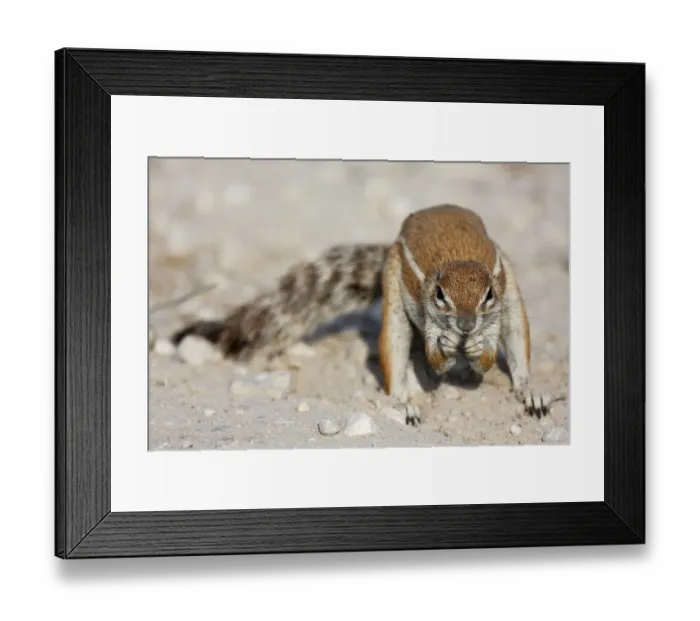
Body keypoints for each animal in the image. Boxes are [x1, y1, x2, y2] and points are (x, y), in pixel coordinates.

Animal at [171, 204, 553, 424]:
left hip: (514, 297)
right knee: (396, 351)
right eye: (440, 295)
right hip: (393, 294)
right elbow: (434, 357)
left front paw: (476, 351)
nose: (465, 325)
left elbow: (487, 357)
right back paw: (403, 404)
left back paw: (530, 391)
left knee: (518, 345)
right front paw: (445, 349)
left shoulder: (497, 308)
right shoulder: (428, 318)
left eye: (488, 294)